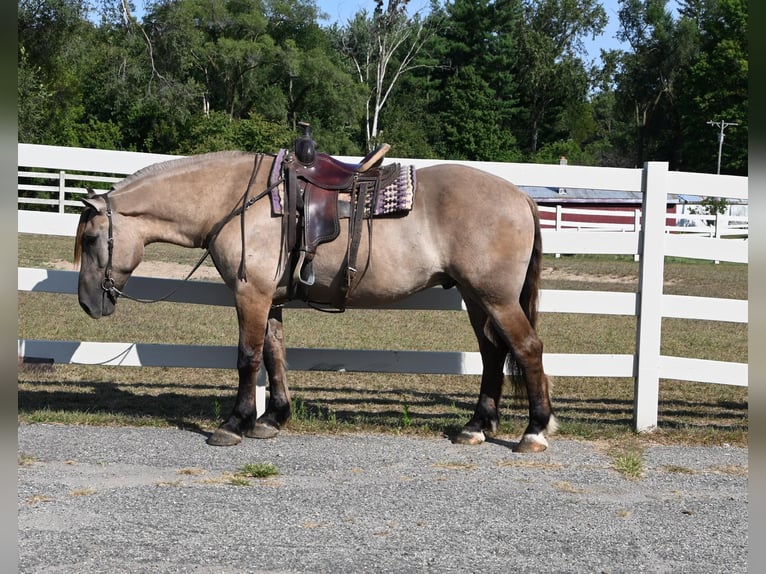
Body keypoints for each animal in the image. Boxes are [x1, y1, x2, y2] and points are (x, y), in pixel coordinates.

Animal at [74, 150, 557, 452]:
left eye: (93, 239)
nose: (88, 305)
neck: (238, 200)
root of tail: (521, 196)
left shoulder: (251, 293)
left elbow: (248, 358)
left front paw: (234, 423)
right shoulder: (268, 298)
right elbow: (274, 355)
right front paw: (272, 418)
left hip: (495, 298)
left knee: (527, 348)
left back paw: (534, 430)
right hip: (477, 299)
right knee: (493, 355)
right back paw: (476, 426)